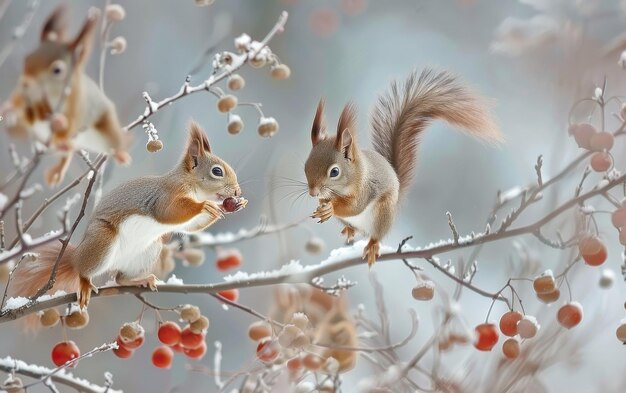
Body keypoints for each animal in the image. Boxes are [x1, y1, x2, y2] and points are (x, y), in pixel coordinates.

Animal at [1, 4, 130, 185]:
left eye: (57, 70)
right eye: (27, 58)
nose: (25, 81)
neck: (51, 94)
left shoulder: (77, 107)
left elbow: (69, 125)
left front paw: (59, 122)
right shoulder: (26, 97)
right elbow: (23, 106)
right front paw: (8, 108)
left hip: (107, 127)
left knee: (111, 141)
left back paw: (120, 153)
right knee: (65, 157)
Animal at [10, 121, 246, 308]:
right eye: (217, 171)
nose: (237, 192)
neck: (191, 185)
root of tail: (76, 256)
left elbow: (188, 227)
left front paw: (232, 206)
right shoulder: (165, 196)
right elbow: (169, 213)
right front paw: (205, 205)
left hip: (146, 253)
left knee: (119, 278)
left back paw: (139, 280)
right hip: (102, 242)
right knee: (85, 270)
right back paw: (85, 282)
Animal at [302, 69, 502, 266]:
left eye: (334, 172)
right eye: (305, 166)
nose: (313, 193)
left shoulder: (366, 189)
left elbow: (354, 206)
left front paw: (331, 207)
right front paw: (323, 204)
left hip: (382, 213)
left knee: (375, 235)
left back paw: (372, 245)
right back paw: (350, 230)